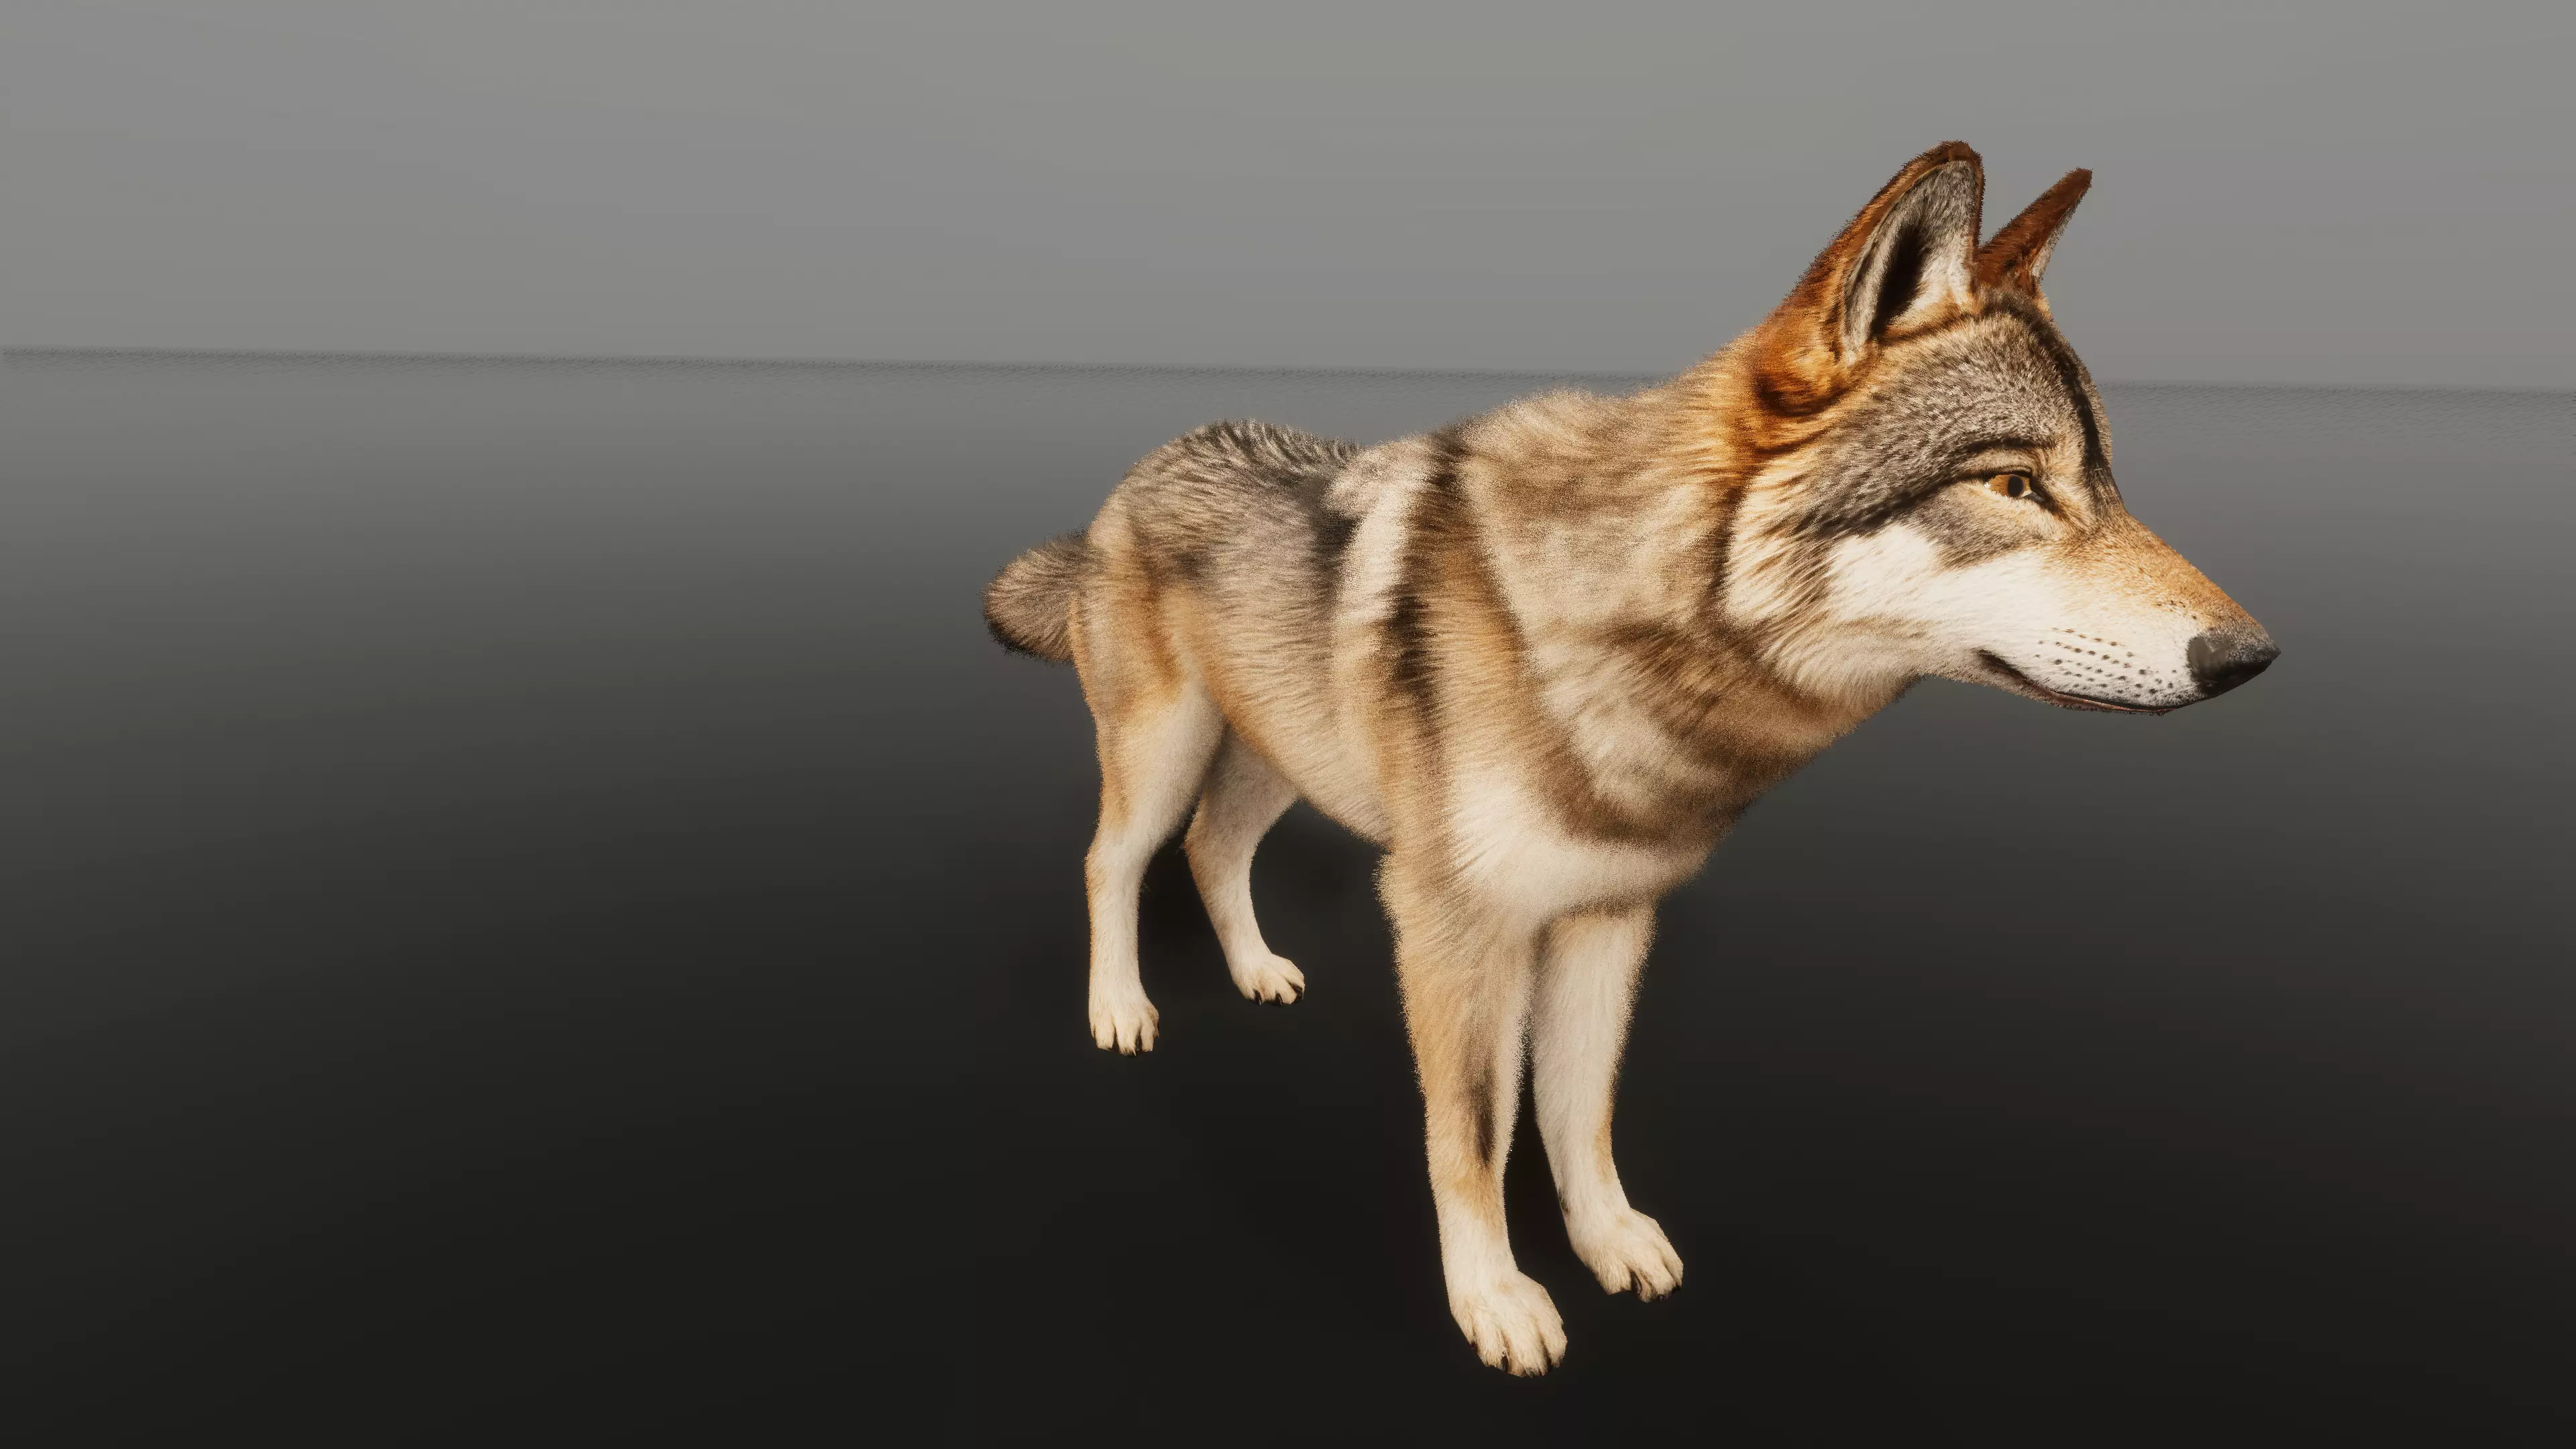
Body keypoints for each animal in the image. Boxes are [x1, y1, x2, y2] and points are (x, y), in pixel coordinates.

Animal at [982, 143, 2276, 1375]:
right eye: (2014, 484)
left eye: (2107, 485)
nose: (2253, 658)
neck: (1626, 637)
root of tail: (1143, 467)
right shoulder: (1453, 929)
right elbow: (1474, 1135)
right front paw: (1496, 1300)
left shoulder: (1607, 919)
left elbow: (1579, 1111)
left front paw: (1607, 1241)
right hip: (1165, 756)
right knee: (1114, 863)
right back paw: (1121, 1009)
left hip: (1274, 767)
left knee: (1213, 852)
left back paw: (1256, 972)